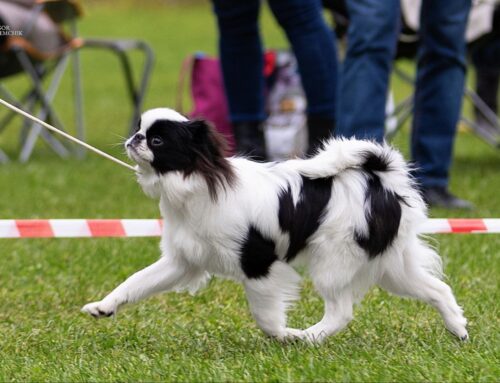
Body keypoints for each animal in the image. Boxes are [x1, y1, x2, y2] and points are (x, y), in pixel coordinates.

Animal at [82, 109, 468, 344]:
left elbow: (265, 316)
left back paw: (311, 336)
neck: (198, 184)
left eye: (157, 140)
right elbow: (136, 282)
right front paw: (104, 306)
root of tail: (381, 178)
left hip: (334, 263)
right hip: (391, 265)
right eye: (140, 130)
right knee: (437, 289)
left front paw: (285, 336)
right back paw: (458, 329)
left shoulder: (259, 265)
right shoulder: (183, 261)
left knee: (341, 311)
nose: (134, 138)